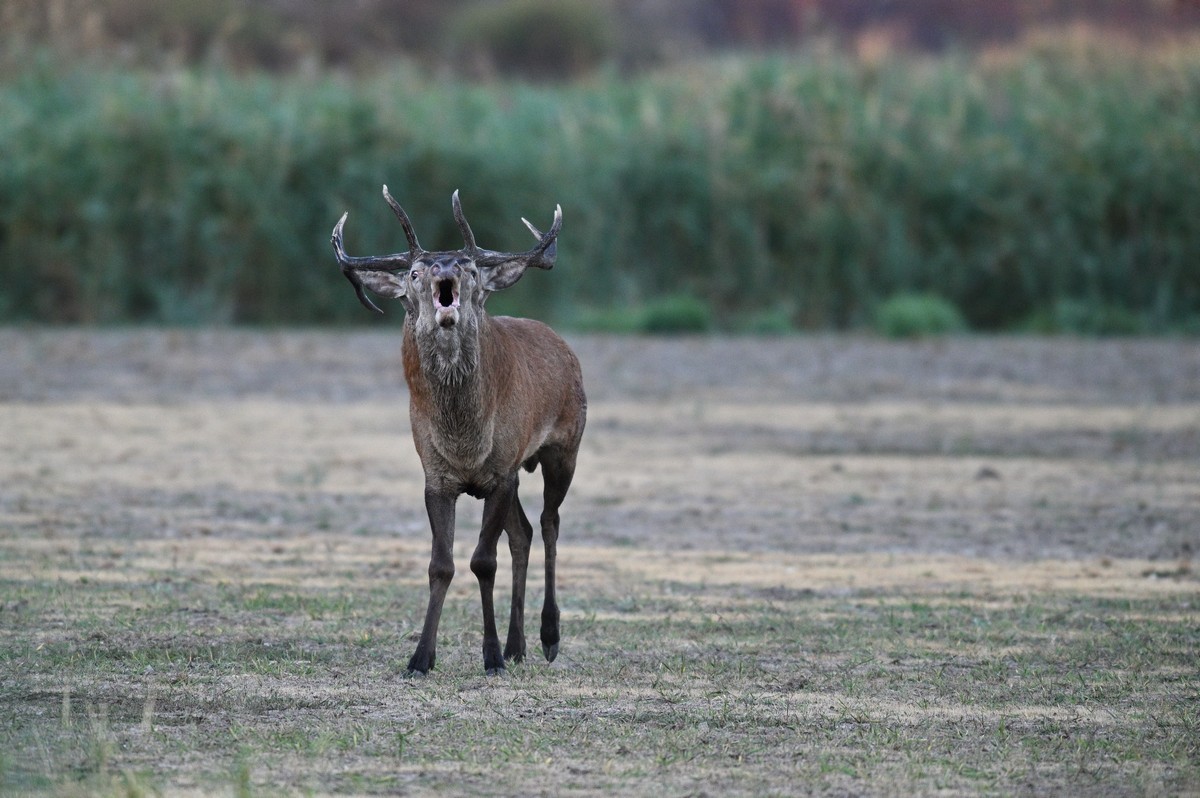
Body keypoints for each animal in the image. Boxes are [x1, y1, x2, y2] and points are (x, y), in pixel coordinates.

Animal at [330, 186, 586, 676]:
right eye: (414, 271)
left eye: (469, 268)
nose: (444, 268)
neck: (465, 440)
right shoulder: (437, 476)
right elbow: (441, 565)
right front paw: (420, 658)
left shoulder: (501, 471)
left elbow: (483, 562)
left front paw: (490, 656)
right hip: (518, 471)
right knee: (523, 533)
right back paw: (518, 645)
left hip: (565, 446)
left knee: (550, 523)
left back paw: (548, 637)